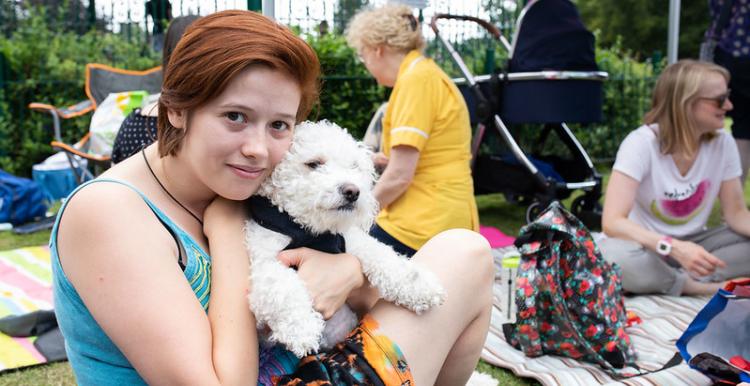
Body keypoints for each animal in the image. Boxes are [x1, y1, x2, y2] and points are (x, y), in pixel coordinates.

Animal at [245, 120, 446, 358]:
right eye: (313, 164)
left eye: (353, 167)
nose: (352, 191)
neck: (311, 232)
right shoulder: (263, 260)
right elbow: (282, 286)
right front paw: (301, 328)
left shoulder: (351, 241)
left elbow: (386, 259)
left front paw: (421, 287)